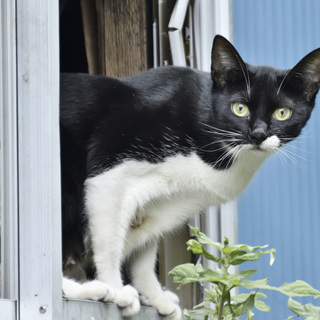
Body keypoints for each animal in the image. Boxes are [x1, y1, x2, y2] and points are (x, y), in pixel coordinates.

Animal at [60, 35, 320, 318]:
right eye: (239, 108)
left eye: (282, 113)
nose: (259, 134)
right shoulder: (109, 167)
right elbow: (109, 245)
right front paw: (117, 290)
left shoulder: (156, 207)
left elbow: (144, 255)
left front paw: (155, 297)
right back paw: (93, 290)